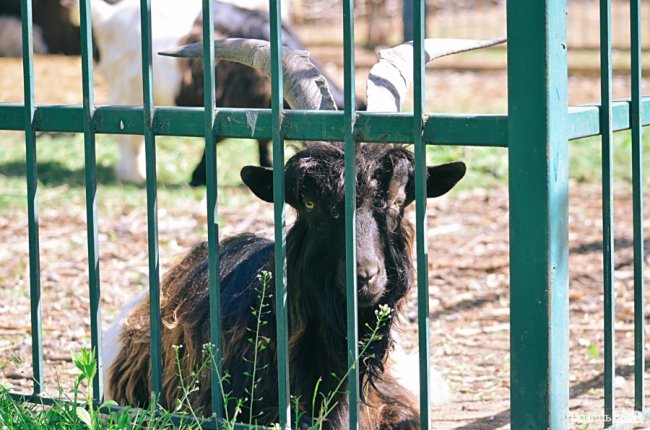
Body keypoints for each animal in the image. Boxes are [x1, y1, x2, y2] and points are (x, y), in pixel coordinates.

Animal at [86, 0, 354, 185]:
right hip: (127, 86)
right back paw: (133, 174)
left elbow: (264, 138)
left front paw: (267, 165)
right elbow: (218, 138)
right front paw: (198, 176)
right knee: (127, 134)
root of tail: (108, 18)